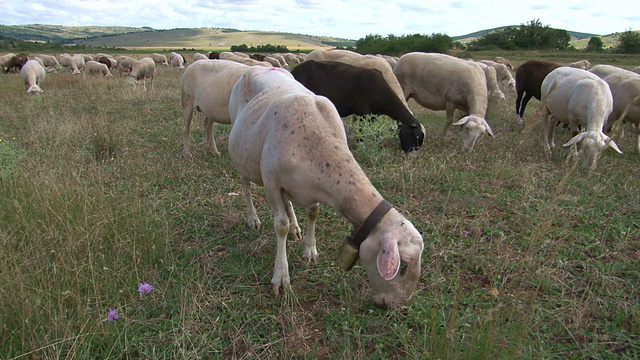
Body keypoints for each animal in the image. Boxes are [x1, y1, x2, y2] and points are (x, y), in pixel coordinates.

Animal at [292, 59, 424, 153]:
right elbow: (362, 131)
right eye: (416, 137)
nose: (412, 155)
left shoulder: (373, 114)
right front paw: (361, 146)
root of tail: (294, 71)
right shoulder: (363, 112)